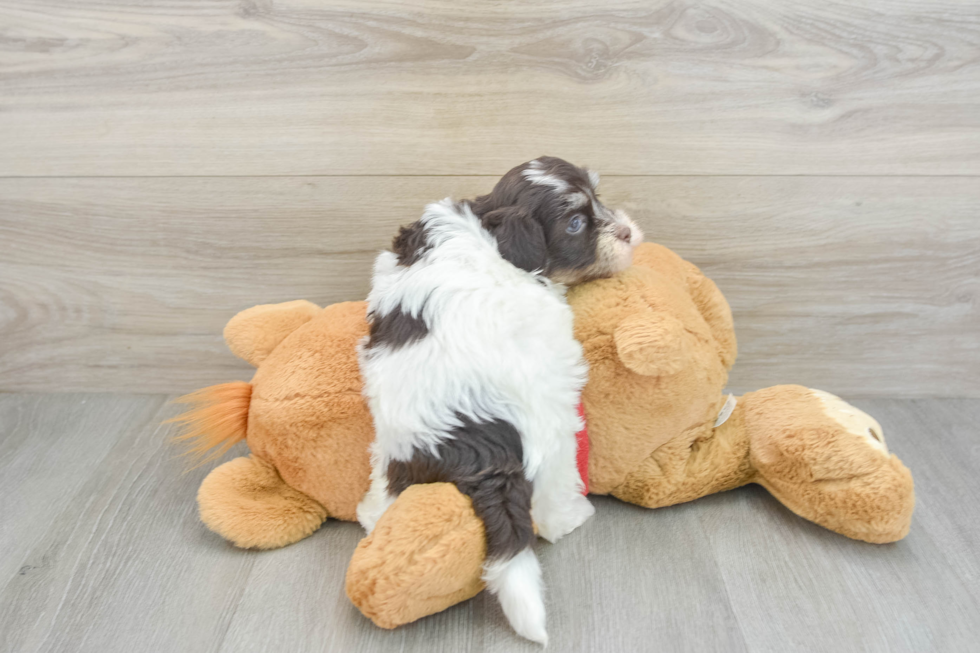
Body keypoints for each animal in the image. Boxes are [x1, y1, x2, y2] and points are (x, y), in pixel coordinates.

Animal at [358, 157, 644, 640]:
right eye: (575, 223)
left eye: (597, 198)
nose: (626, 232)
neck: (491, 227)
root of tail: (473, 446)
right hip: (552, 427)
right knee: (549, 493)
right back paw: (571, 516)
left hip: (394, 446)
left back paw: (372, 514)